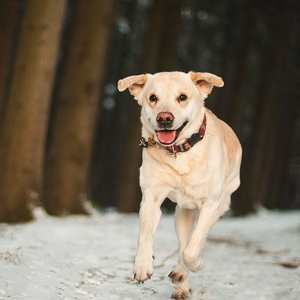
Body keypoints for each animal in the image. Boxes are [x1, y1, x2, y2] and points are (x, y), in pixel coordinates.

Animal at [117, 71, 241, 298]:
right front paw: (142, 265)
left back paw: (183, 272)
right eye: (153, 98)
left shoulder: (211, 204)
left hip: (220, 203)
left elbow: (192, 249)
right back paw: (181, 283)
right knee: (184, 242)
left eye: (182, 97)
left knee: (192, 243)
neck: (180, 152)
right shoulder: (151, 198)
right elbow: (145, 235)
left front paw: (197, 263)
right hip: (182, 214)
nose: (164, 118)